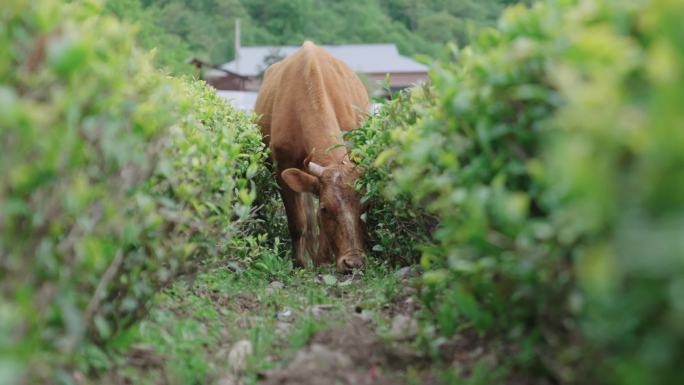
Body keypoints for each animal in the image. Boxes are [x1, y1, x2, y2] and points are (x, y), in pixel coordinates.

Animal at [254, 40, 368, 272]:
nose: (353, 262)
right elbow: (298, 221)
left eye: (363, 206)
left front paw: (322, 260)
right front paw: (300, 262)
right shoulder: (283, 167)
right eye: (325, 209)